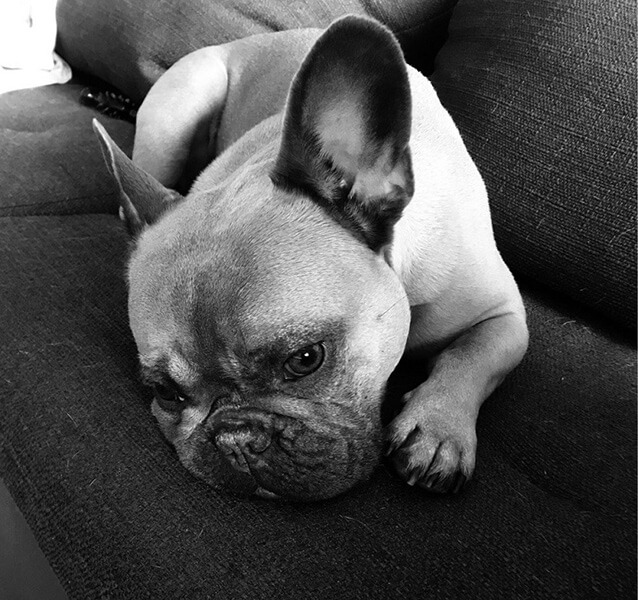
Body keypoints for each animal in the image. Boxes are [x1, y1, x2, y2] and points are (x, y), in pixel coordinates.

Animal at [92, 15, 528, 501]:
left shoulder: (505, 317)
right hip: (176, 115)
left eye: (305, 359)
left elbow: (471, 356)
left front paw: (437, 427)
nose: (235, 438)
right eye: (166, 393)